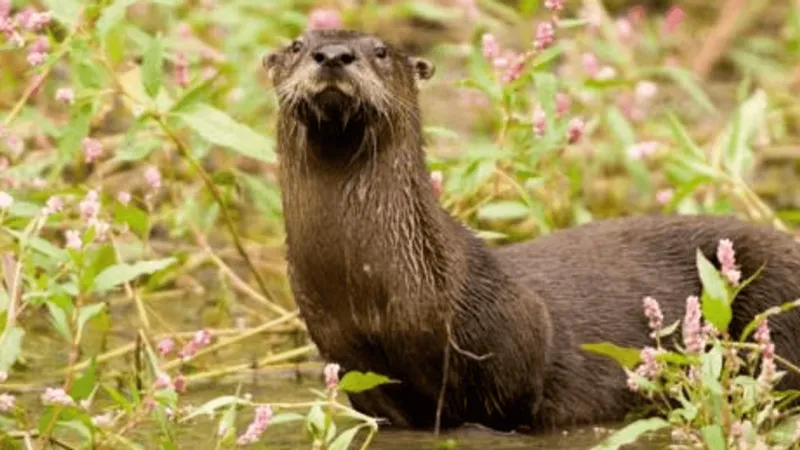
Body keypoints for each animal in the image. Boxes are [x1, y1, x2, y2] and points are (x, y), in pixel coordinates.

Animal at [263, 29, 800, 432]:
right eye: (297, 45)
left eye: (379, 51)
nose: (334, 54)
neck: (372, 292)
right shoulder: (355, 364)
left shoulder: (515, 337)